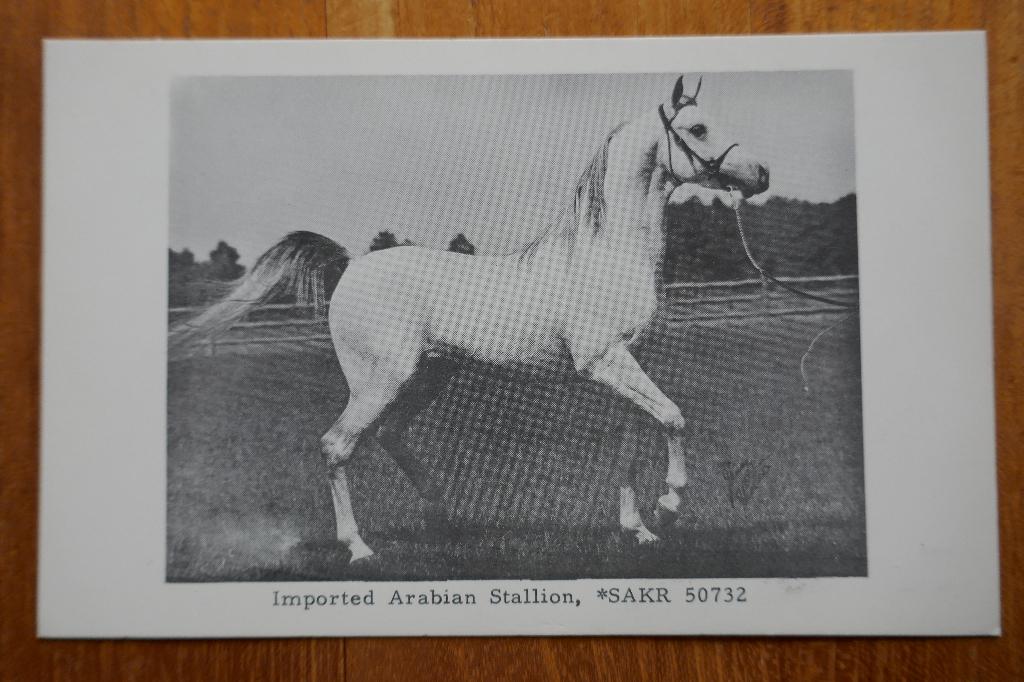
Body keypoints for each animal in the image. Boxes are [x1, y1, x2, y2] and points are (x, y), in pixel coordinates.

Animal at [172, 74, 770, 562]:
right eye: (697, 127)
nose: (761, 174)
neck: (604, 253)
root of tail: (352, 265)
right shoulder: (604, 362)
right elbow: (674, 418)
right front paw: (669, 506)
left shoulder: (623, 365)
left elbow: (630, 443)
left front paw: (639, 531)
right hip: (380, 381)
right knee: (338, 446)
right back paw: (359, 547)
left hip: (427, 376)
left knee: (390, 435)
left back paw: (442, 516)